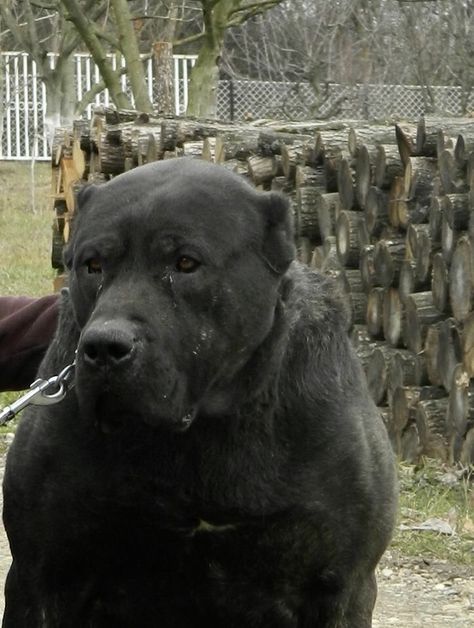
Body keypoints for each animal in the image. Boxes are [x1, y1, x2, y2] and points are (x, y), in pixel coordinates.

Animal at [2, 157, 396, 624]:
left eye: (186, 263)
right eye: (92, 265)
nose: (104, 347)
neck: (201, 431)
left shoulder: (340, 586)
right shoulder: (42, 579)